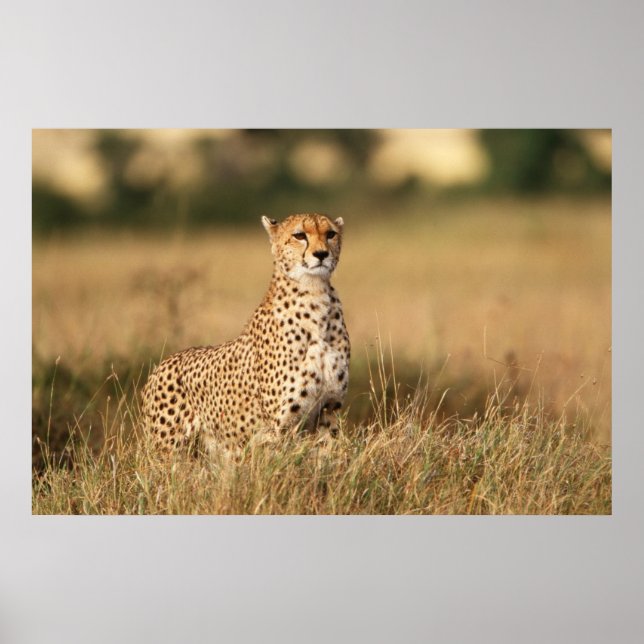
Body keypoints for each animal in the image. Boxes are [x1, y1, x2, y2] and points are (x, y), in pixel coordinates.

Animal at [140, 213, 350, 456]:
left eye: (330, 234)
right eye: (299, 235)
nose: (322, 254)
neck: (315, 294)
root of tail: (161, 364)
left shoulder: (329, 410)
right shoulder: (281, 426)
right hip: (167, 449)